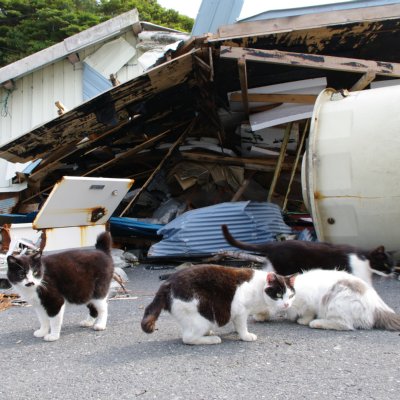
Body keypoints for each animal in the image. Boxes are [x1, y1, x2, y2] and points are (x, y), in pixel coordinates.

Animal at [141, 264, 294, 346]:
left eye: (291, 296)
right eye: (278, 295)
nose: (286, 304)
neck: (259, 287)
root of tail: (167, 283)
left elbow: (237, 324)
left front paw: (236, 331)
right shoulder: (241, 310)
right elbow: (242, 325)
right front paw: (245, 335)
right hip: (200, 317)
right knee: (188, 338)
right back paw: (212, 339)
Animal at [222, 223, 394, 286]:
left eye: (393, 265)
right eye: (385, 264)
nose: (393, 272)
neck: (365, 260)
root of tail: (275, 244)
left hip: (273, 266)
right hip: (286, 268)